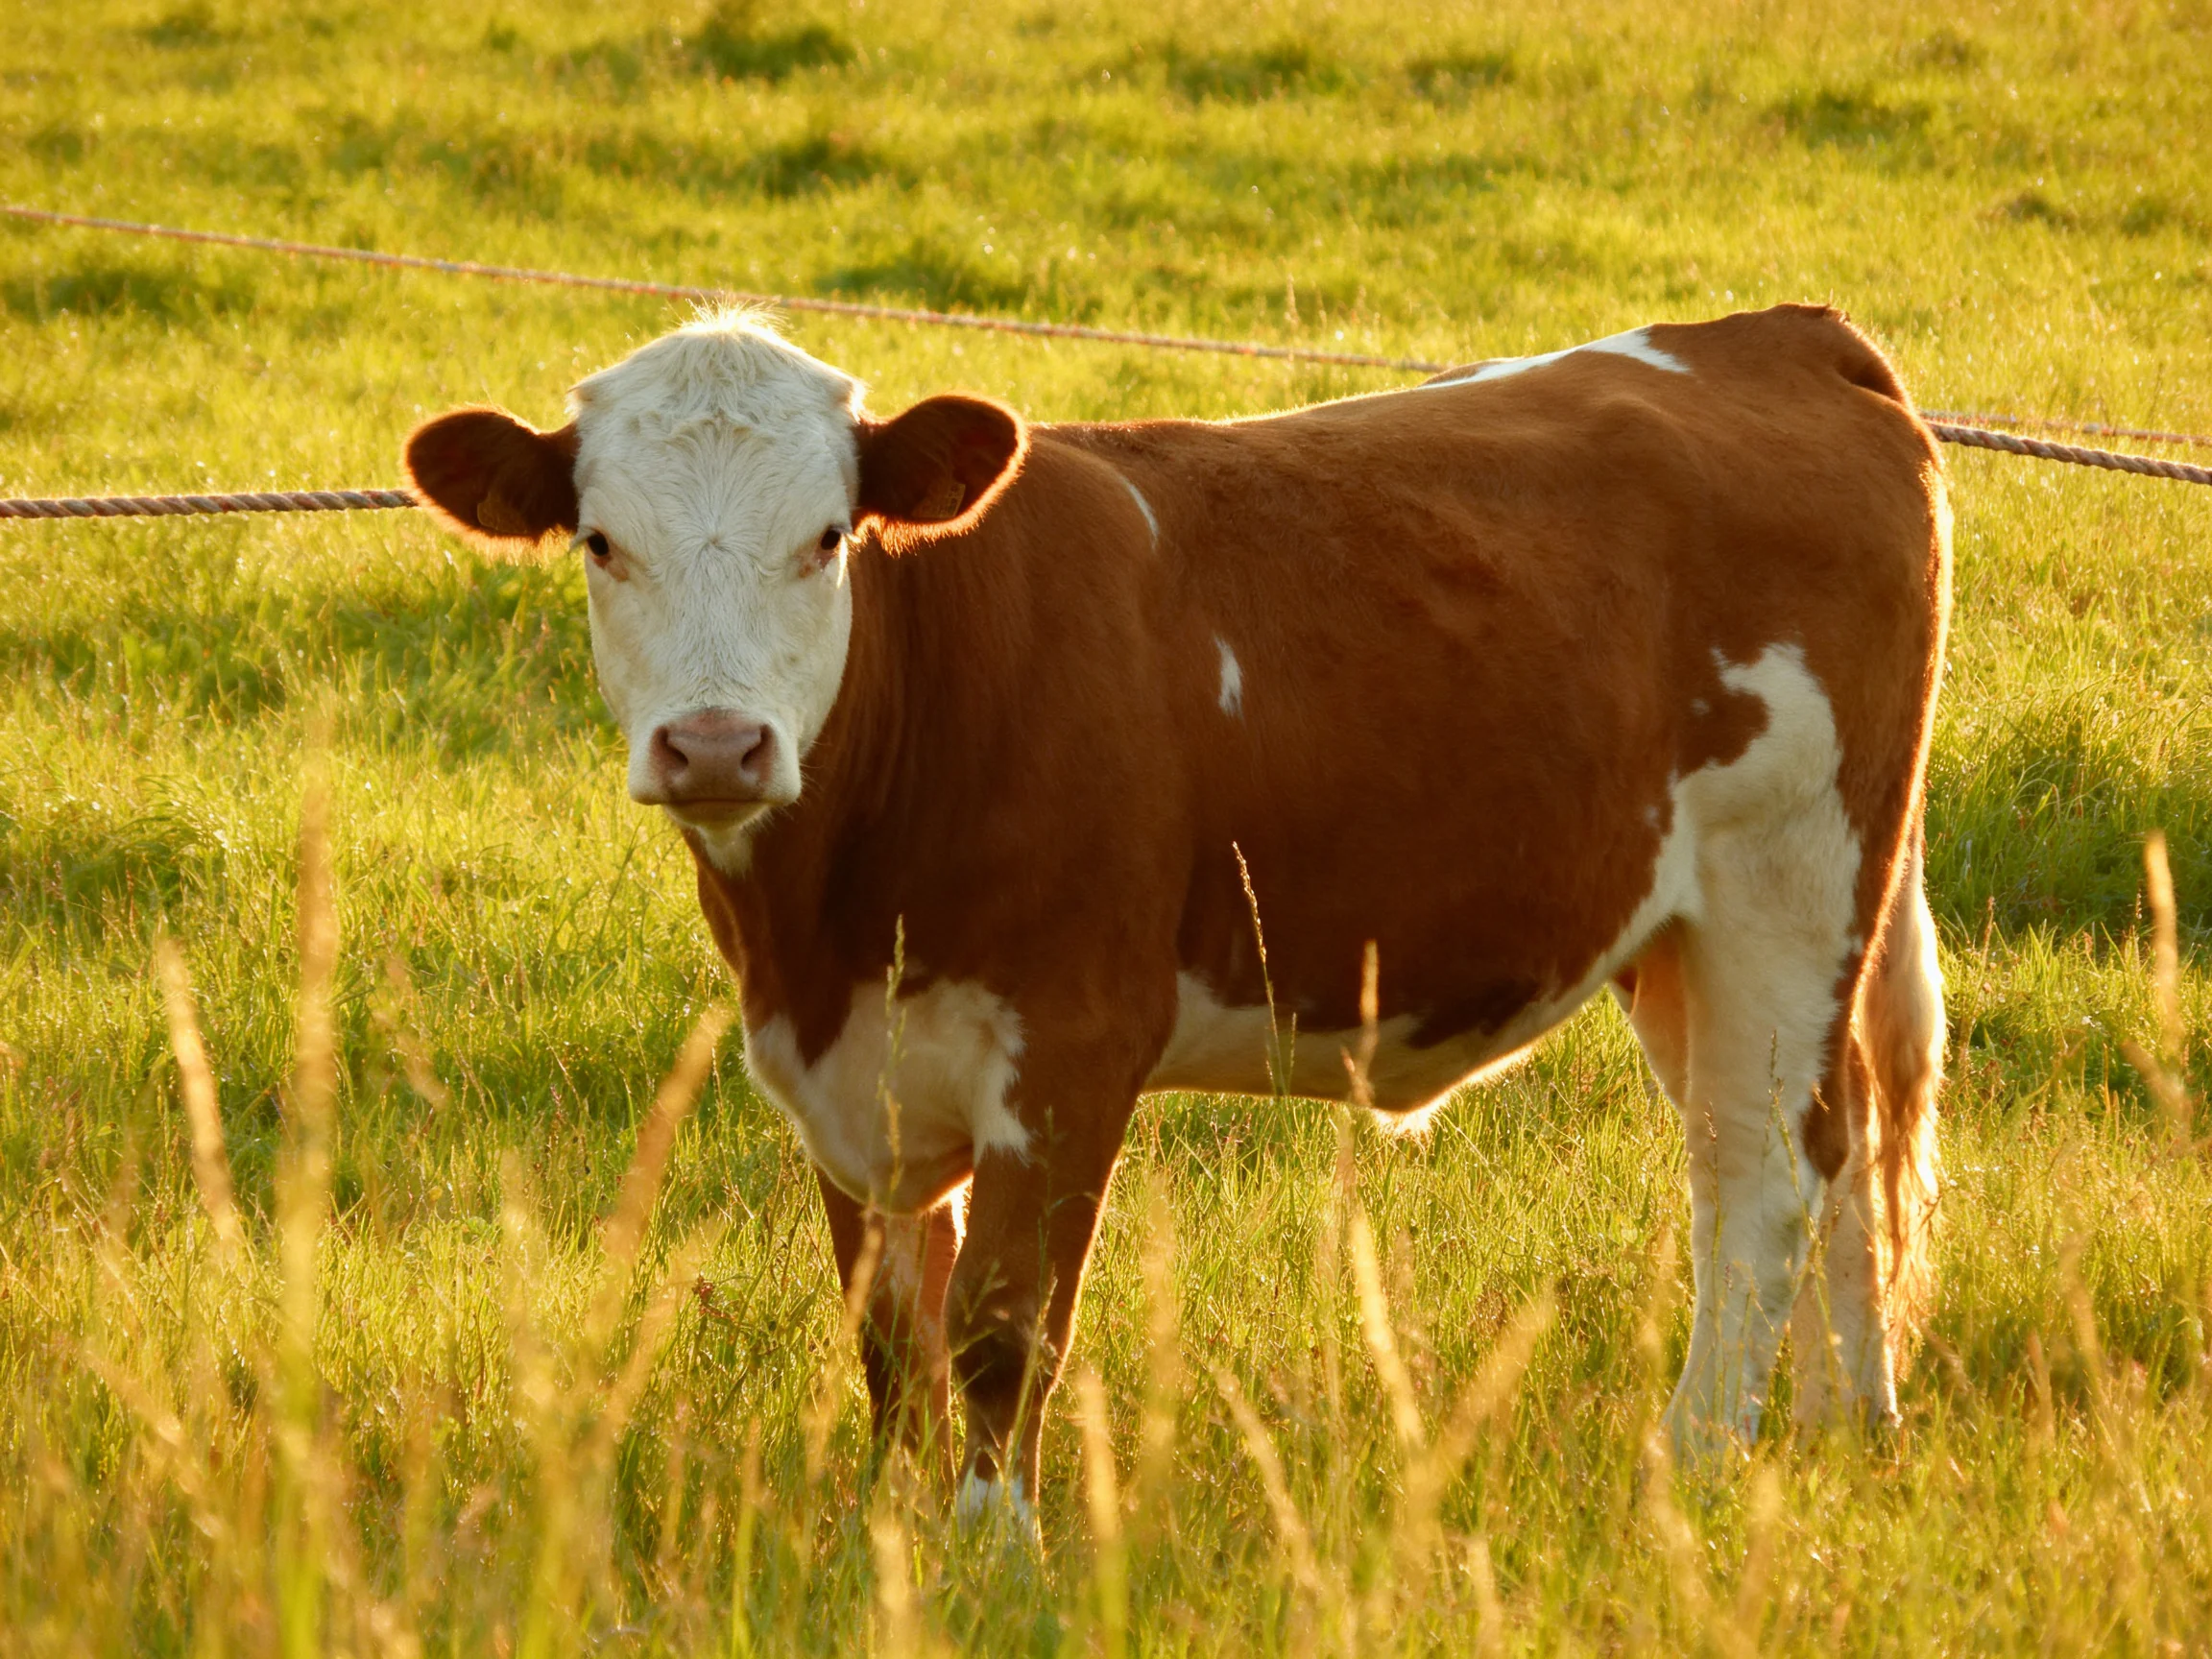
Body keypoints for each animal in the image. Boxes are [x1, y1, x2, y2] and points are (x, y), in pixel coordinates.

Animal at [404, 302, 1950, 1529]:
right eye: (602, 542)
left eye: (828, 538)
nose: (718, 747)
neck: (826, 931)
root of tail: (1779, 336)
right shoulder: (841, 1079)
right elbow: (892, 1336)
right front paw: (887, 1541)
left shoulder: (1072, 1047)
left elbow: (1002, 1330)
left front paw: (992, 1554)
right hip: (1692, 931)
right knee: (1839, 1140)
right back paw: (1848, 1429)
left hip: (1787, 881)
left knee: (1761, 1177)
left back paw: (1692, 1460)